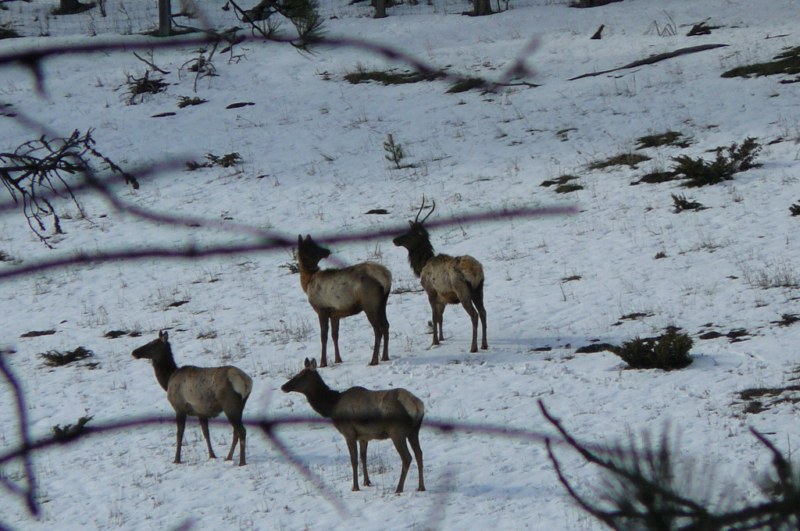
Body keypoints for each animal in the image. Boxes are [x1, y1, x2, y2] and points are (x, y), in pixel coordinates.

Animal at [130, 332, 253, 466]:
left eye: (153, 344)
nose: (134, 352)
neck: (168, 380)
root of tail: (246, 382)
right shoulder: (201, 412)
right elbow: (206, 433)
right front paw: (212, 455)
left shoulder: (179, 408)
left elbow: (179, 434)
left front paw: (176, 459)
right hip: (240, 406)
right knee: (236, 432)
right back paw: (229, 457)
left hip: (230, 406)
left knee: (242, 431)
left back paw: (242, 462)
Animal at [282, 358, 424, 494]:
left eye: (301, 375)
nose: (283, 386)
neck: (331, 406)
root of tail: (416, 405)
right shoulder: (363, 436)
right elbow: (363, 457)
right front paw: (366, 482)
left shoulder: (349, 432)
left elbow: (354, 460)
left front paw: (355, 487)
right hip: (414, 431)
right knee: (419, 454)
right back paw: (421, 487)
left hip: (397, 433)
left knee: (407, 458)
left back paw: (399, 489)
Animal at [296, 235, 392, 368]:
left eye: (313, 246)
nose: (326, 251)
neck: (307, 283)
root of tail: (386, 277)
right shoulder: (335, 314)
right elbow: (335, 335)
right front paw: (338, 359)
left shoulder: (322, 309)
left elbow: (323, 336)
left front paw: (323, 363)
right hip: (382, 303)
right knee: (386, 325)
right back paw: (385, 356)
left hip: (369, 304)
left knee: (377, 330)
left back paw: (374, 360)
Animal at [392, 198, 488, 354]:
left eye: (411, 233)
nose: (395, 240)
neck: (422, 265)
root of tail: (475, 271)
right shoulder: (443, 296)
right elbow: (441, 317)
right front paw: (442, 338)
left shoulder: (430, 291)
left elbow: (434, 317)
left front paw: (434, 341)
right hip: (479, 290)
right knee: (483, 312)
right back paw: (485, 344)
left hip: (462, 291)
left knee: (474, 314)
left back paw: (473, 347)